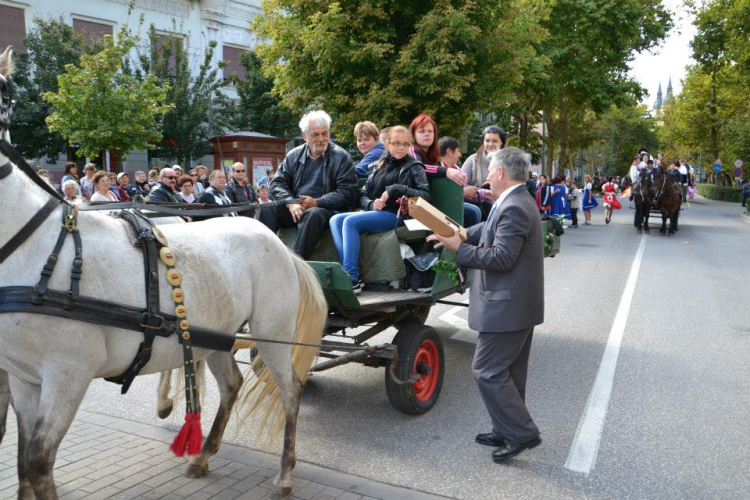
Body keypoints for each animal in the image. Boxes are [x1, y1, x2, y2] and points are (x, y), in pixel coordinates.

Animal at [0, 47, 326, 500]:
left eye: (4, 93)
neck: (38, 249)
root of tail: (277, 242)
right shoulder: (22, 378)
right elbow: (23, 464)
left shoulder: (67, 375)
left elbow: (37, 462)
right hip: (216, 335)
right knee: (232, 385)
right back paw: (203, 456)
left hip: (271, 333)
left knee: (291, 388)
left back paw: (284, 473)